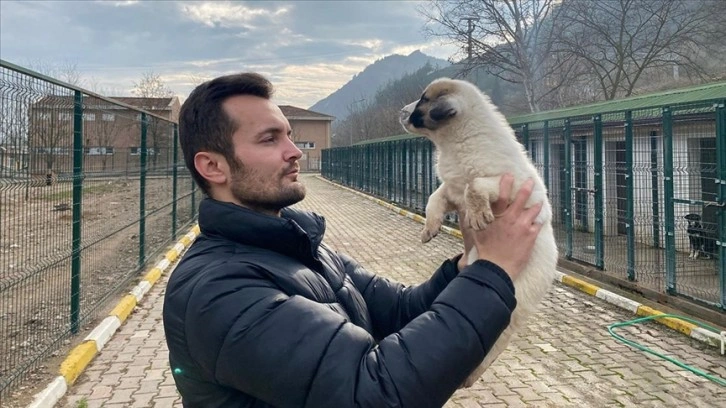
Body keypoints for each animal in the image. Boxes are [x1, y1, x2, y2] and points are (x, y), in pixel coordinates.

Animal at [400, 78, 560, 388]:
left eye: (424, 100)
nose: (401, 111)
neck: (455, 144)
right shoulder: (450, 189)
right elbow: (434, 198)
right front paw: (430, 227)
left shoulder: (506, 184)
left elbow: (475, 185)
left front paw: (477, 214)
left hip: (513, 311)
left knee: (492, 349)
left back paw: (468, 378)